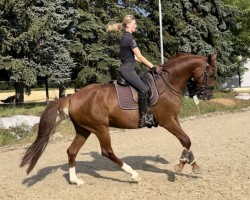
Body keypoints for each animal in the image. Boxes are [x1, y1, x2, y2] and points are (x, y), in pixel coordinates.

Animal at [20, 52, 217, 184]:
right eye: (211, 74)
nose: (207, 95)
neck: (167, 84)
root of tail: (72, 97)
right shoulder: (168, 121)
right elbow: (186, 140)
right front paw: (183, 164)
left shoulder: (172, 120)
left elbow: (187, 141)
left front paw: (192, 164)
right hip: (100, 128)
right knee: (107, 151)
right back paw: (134, 175)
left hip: (84, 129)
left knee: (72, 151)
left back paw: (75, 180)